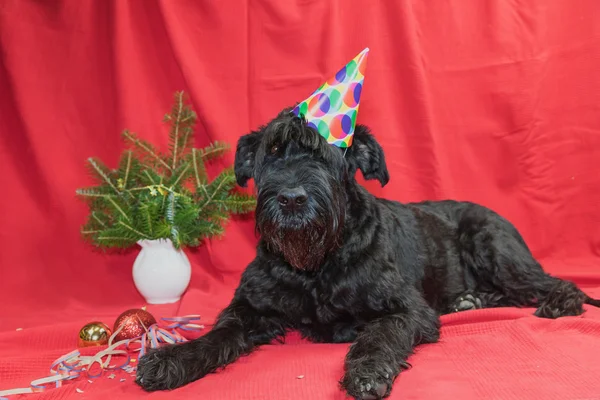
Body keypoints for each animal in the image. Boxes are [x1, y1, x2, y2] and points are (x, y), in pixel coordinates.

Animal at [136, 108, 600, 398]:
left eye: (326, 156)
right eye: (272, 153)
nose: (292, 199)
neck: (316, 265)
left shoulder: (405, 309)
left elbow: (379, 335)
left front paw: (366, 371)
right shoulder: (250, 307)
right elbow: (217, 334)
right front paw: (172, 359)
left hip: (494, 248)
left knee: (551, 283)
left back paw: (557, 302)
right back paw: (469, 300)